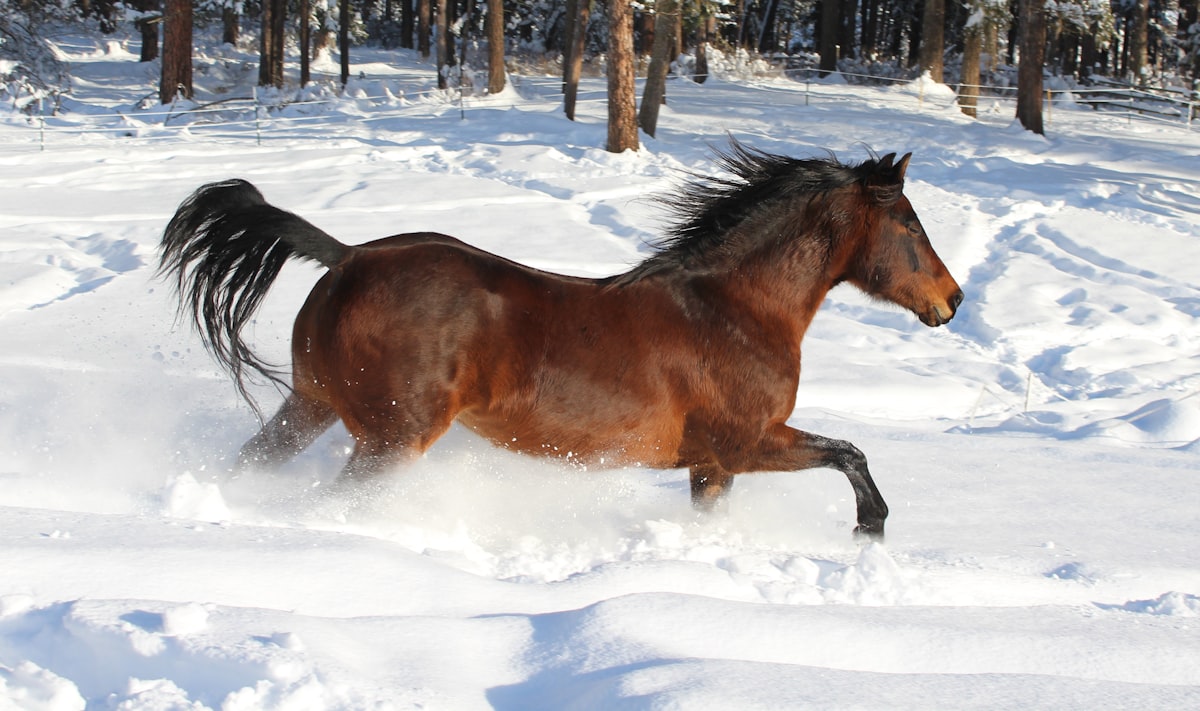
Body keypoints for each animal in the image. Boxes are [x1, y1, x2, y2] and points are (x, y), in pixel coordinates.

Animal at [159, 142, 962, 539]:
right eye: (910, 223)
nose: (951, 300)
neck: (733, 308)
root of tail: (348, 255)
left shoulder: (712, 465)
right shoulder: (746, 442)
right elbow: (851, 453)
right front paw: (870, 529)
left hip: (313, 405)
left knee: (250, 463)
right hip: (390, 437)